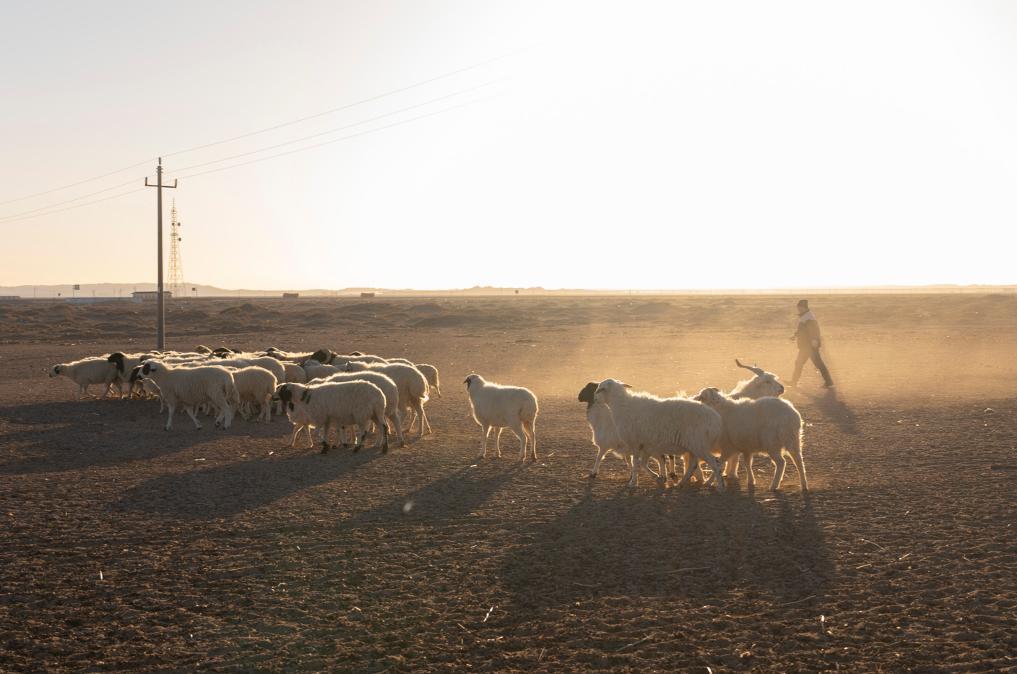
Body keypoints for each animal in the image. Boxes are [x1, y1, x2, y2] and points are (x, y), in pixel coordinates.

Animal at [593, 380, 728, 489]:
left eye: (600, 389)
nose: (595, 399)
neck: (621, 406)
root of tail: (717, 420)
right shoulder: (646, 446)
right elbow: (643, 464)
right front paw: (658, 477)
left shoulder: (635, 444)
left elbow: (636, 464)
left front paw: (633, 483)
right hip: (694, 446)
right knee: (693, 465)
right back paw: (682, 483)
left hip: (699, 445)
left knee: (715, 464)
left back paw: (720, 486)